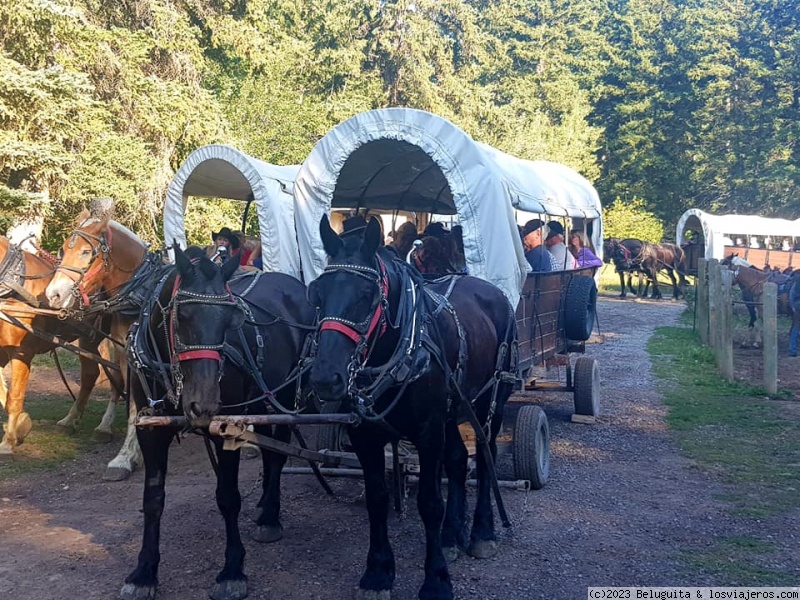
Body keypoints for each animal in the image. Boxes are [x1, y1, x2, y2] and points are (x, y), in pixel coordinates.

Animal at [0, 237, 122, 458]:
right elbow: (3, 394)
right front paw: (22, 425)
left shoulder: (22, 352)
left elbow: (14, 396)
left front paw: (9, 440)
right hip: (88, 339)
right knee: (90, 375)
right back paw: (69, 420)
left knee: (119, 377)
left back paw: (104, 427)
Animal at [45, 209, 153, 480]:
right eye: (63, 248)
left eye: (86, 252)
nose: (53, 295)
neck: (140, 293)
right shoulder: (125, 352)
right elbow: (135, 404)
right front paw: (128, 456)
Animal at [122, 246, 316, 600]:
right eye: (183, 317)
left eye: (228, 322)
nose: (204, 403)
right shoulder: (151, 430)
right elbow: (152, 500)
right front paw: (144, 572)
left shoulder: (226, 430)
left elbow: (228, 497)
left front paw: (232, 570)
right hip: (261, 402)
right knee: (269, 451)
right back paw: (264, 506)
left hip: (283, 396)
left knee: (278, 456)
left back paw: (270, 516)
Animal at [306, 216, 520, 600]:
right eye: (316, 293)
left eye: (367, 296)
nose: (325, 377)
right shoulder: (365, 435)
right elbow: (377, 497)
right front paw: (377, 572)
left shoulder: (428, 430)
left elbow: (429, 503)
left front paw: (436, 579)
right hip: (454, 408)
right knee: (458, 460)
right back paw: (452, 535)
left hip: (489, 402)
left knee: (485, 457)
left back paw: (481, 531)